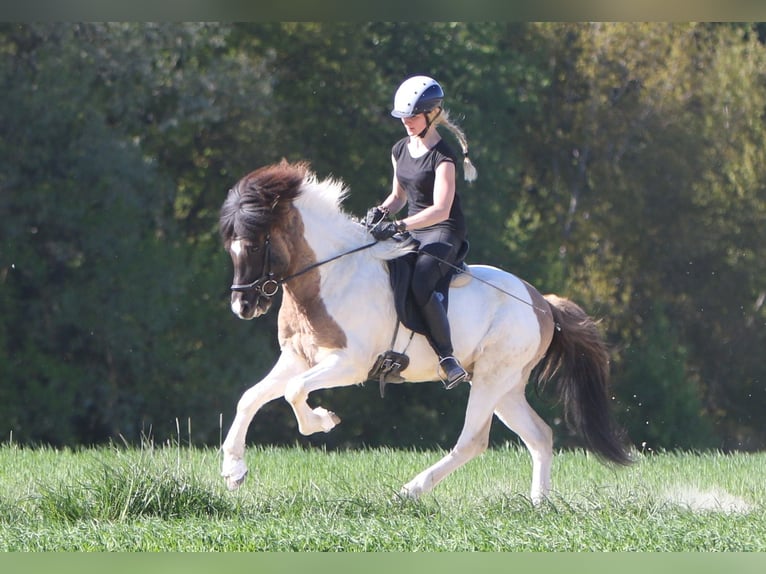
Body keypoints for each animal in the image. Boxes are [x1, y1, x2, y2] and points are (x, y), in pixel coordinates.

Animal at [218, 160, 631, 503]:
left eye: (252, 245)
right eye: (230, 248)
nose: (242, 307)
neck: (329, 275)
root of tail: (541, 302)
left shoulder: (349, 365)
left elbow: (293, 392)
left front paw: (323, 420)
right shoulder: (298, 358)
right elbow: (249, 398)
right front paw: (233, 471)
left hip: (492, 378)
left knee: (473, 441)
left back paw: (409, 491)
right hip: (506, 385)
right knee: (540, 435)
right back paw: (538, 505)